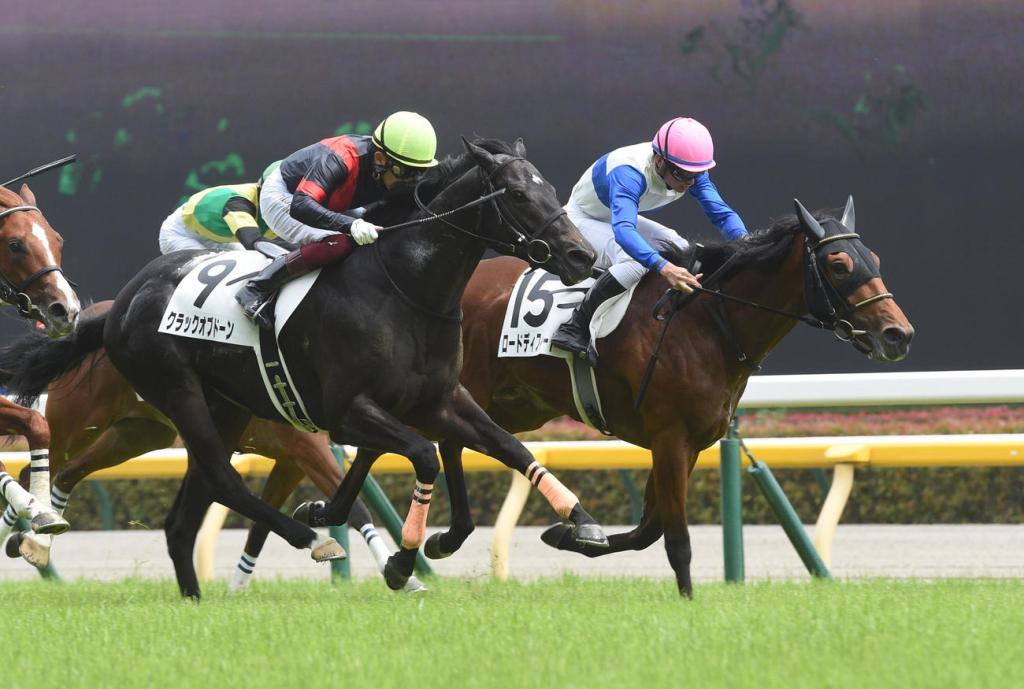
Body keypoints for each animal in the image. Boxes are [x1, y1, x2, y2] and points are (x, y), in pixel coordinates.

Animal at [0, 137, 602, 598]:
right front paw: (400, 561)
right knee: (219, 478)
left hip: (216, 410)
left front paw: (580, 522)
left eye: (551, 191)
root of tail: (121, 302)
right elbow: (424, 457)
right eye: (519, 195)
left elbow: (506, 448)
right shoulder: (346, 410)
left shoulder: (436, 401)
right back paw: (310, 539)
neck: (401, 287)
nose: (582, 257)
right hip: (175, 393)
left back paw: (196, 597)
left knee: (185, 516)